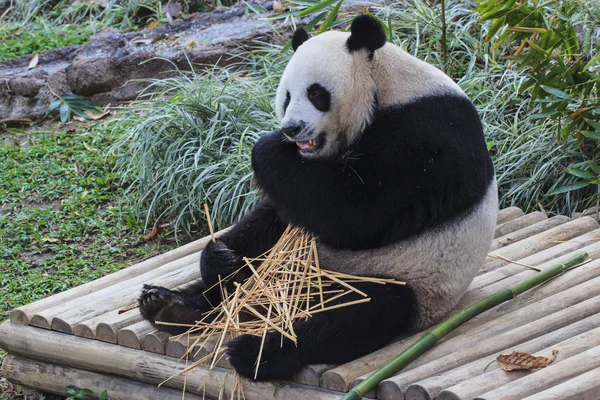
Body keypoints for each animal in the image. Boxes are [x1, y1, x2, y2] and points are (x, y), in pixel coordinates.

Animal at [139, 15, 496, 382]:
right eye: (286, 95)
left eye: (316, 93)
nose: (292, 128)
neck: (384, 85)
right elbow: (281, 211)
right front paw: (218, 257)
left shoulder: (425, 134)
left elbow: (357, 216)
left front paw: (267, 147)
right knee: (262, 255)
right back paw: (172, 303)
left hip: (414, 282)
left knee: (357, 314)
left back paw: (258, 352)